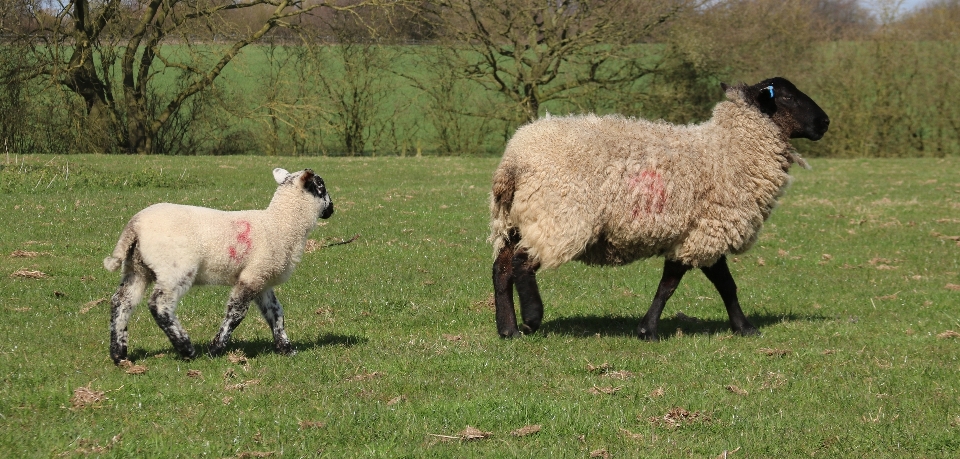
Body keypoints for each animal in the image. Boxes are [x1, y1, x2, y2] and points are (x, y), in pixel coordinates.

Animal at [104, 167, 334, 364]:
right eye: (320, 185)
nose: (332, 209)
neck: (280, 224)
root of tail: (135, 225)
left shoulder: (261, 276)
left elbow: (275, 313)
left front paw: (286, 348)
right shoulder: (252, 277)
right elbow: (236, 313)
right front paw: (215, 349)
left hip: (137, 268)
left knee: (121, 301)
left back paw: (119, 354)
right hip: (175, 269)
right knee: (159, 305)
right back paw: (186, 348)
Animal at [492, 76, 828, 342]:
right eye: (787, 96)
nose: (825, 122)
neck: (731, 148)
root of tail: (514, 159)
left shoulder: (698, 232)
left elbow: (713, 285)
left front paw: (741, 327)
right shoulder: (706, 231)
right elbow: (683, 285)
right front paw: (650, 330)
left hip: (519, 219)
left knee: (501, 268)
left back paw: (509, 330)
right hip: (558, 218)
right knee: (522, 263)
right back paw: (532, 318)